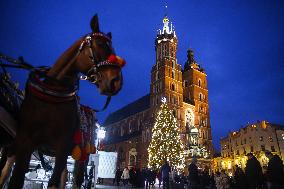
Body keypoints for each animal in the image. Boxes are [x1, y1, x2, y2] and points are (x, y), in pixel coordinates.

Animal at [0, 14, 125, 188]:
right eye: (100, 44)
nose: (116, 82)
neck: (53, 96)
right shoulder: (25, 142)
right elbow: (15, 180)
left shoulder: (62, 146)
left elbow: (53, 182)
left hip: (82, 154)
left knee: (76, 179)